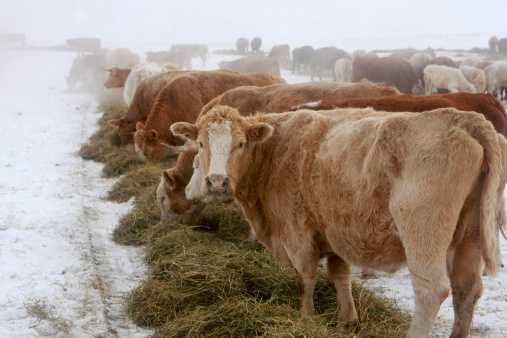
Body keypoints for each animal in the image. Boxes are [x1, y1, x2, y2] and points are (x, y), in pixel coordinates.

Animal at [173, 105, 506, 338]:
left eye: (240, 143)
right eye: (200, 144)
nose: (217, 182)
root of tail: (464, 119)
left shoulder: (298, 233)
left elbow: (306, 276)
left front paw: (305, 317)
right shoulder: (333, 230)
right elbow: (339, 274)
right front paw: (348, 319)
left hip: (423, 233)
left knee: (431, 290)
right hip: (469, 236)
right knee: (466, 290)